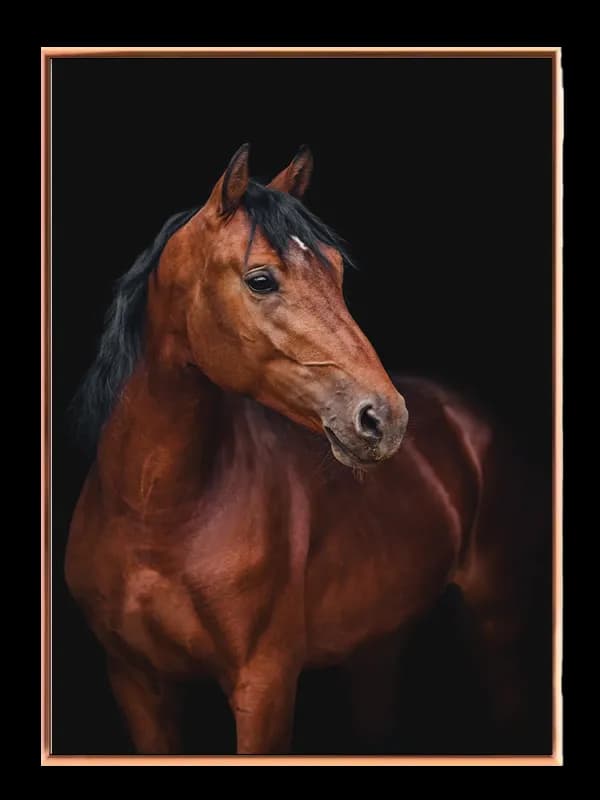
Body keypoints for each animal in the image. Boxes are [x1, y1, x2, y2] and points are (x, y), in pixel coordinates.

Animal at [66, 144, 552, 755]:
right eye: (260, 279)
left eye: (337, 273)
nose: (384, 418)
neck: (157, 515)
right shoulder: (136, 682)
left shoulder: (264, 686)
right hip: (378, 641)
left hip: (495, 621)